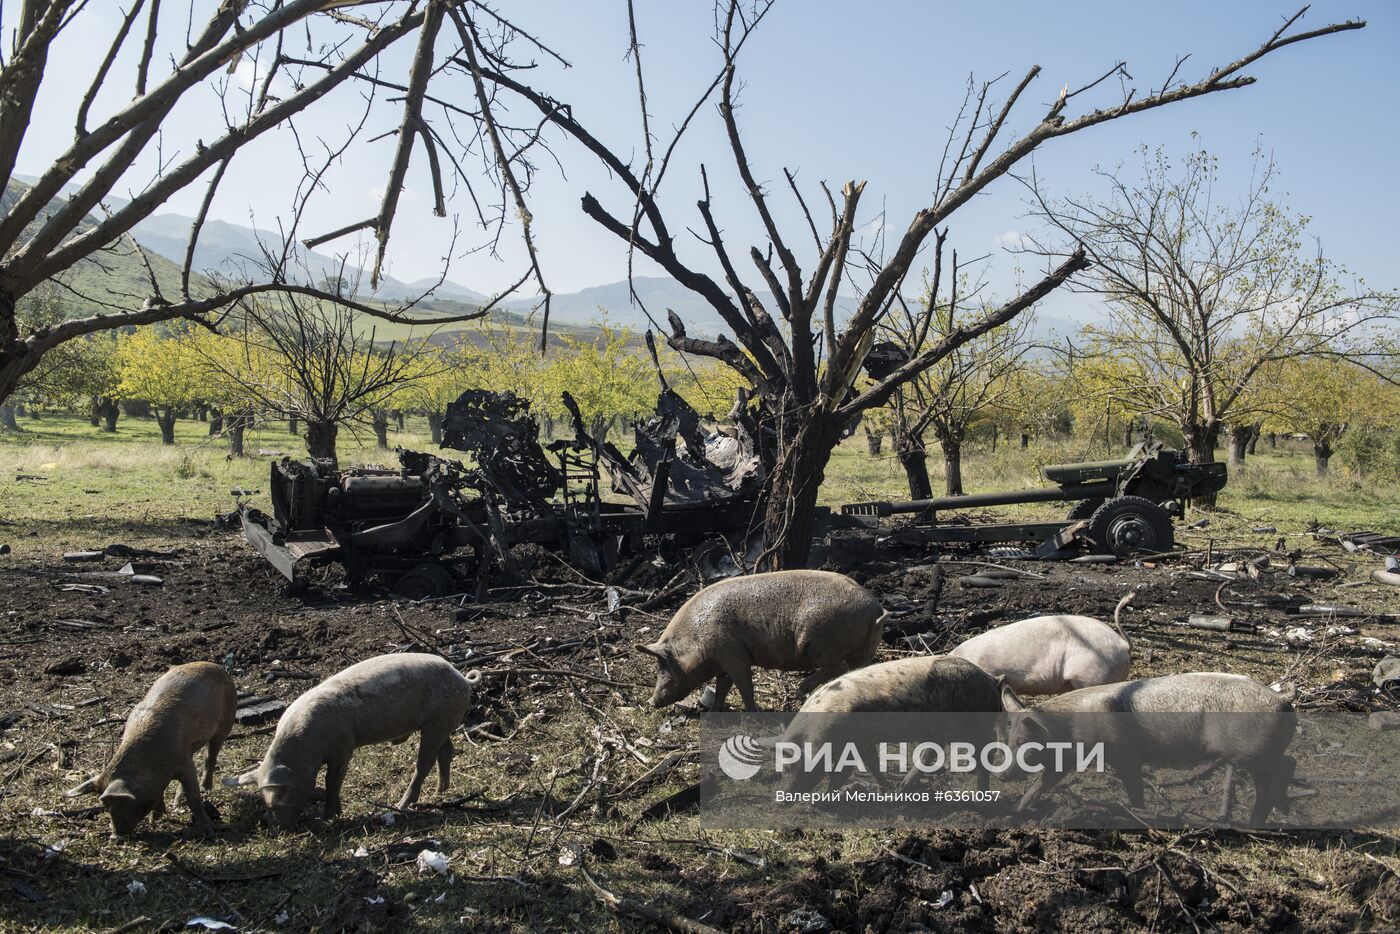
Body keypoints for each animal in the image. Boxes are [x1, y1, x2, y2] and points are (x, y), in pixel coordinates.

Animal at [64, 660, 235, 834]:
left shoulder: (183, 761)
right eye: (106, 806)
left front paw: (209, 832)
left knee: (211, 756)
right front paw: (155, 819)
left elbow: (193, 797)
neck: (150, 763)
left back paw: (205, 789)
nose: (115, 836)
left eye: (122, 802)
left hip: (226, 720)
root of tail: (217, 666)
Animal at [228, 655, 481, 828]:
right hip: (439, 723)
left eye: (276, 801)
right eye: (264, 802)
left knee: (424, 764)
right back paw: (440, 792)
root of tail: (462, 677)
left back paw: (402, 805)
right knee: (446, 751)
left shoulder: (344, 745)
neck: (304, 752)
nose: (274, 829)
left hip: (439, 720)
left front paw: (329, 818)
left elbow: (333, 780)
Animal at [638, 565, 884, 711]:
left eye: (663, 667)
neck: (696, 640)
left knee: (837, 668)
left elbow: (743, 685)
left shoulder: (733, 654)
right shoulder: (725, 659)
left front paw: (752, 711)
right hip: (862, 651)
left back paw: (800, 690)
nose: (651, 702)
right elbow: (722, 685)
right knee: (855, 671)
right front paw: (714, 711)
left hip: (824, 645)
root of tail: (875, 607)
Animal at [1002, 672, 1293, 823]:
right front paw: (1017, 811)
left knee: (1288, 764)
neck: (1067, 729)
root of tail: (1282, 700)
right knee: (1265, 785)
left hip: (1249, 752)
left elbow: (1134, 789)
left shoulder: (1125, 755)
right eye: (1009, 739)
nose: (1001, 774)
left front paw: (1137, 811)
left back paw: (1280, 809)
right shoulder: (1070, 757)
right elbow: (1045, 781)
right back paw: (1261, 819)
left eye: (1024, 743)